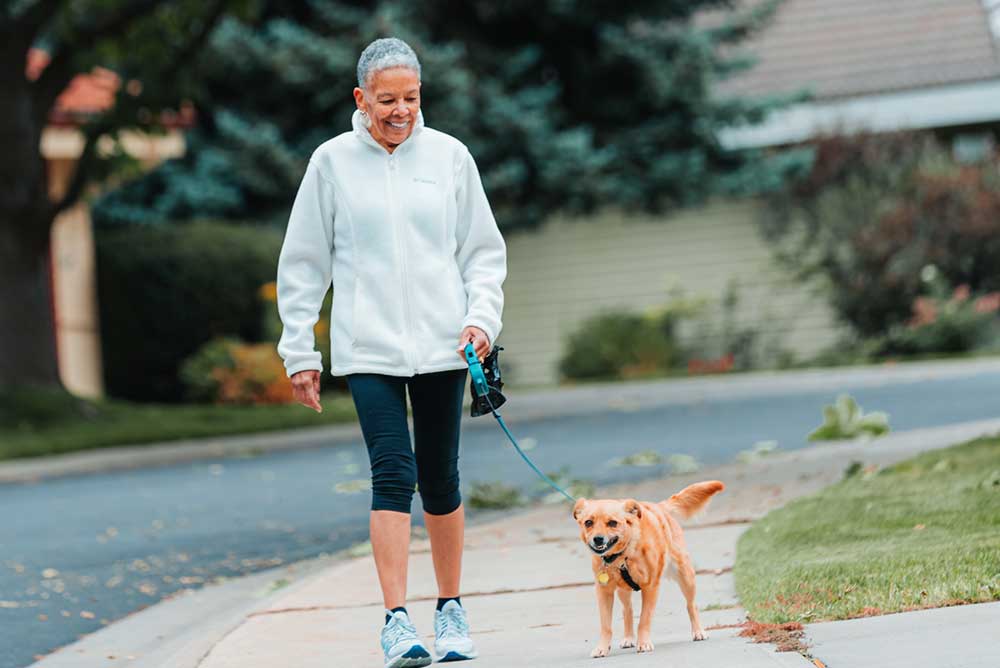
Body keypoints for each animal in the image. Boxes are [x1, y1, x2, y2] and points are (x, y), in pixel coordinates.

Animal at [572, 480, 728, 656]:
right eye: (588, 522)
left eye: (612, 523)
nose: (598, 539)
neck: (624, 555)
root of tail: (659, 506)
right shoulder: (604, 592)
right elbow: (606, 626)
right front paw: (602, 648)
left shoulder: (651, 587)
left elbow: (644, 620)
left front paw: (644, 643)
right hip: (623, 591)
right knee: (627, 610)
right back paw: (628, 638)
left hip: (686, 577)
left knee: (691, 605)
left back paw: (698, 631)